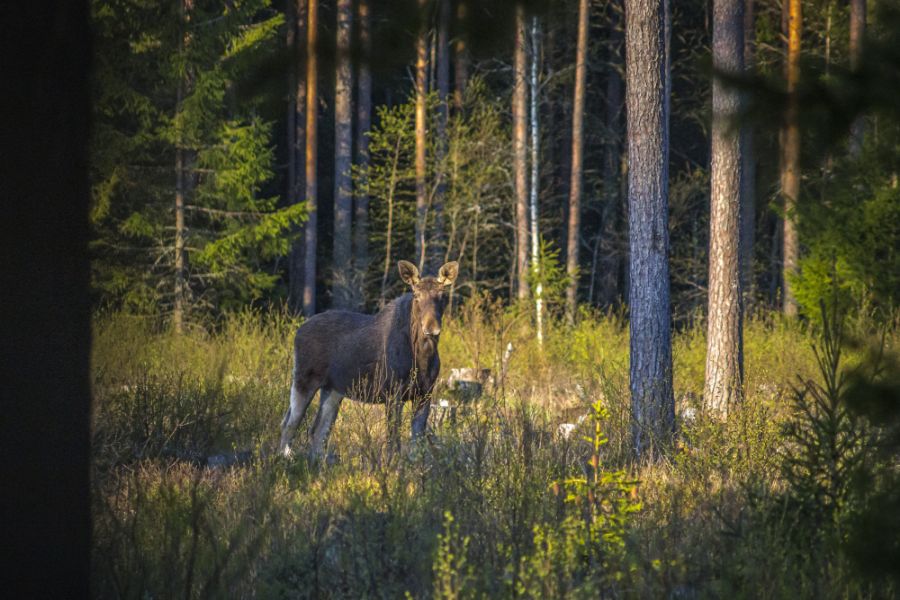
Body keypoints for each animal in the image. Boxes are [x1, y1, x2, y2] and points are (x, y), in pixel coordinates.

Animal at [280, 258, 460, 460]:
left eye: (442, 296)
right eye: (416, 295)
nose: (431, 328)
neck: (422, 357)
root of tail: (298, 331)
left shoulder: (425, 394)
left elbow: (416, 443)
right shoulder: (393, 393)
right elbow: (393, 440)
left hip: (333, 389)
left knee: (318, 430)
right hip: (304, 379)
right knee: (289, 423)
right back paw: (284, 459)